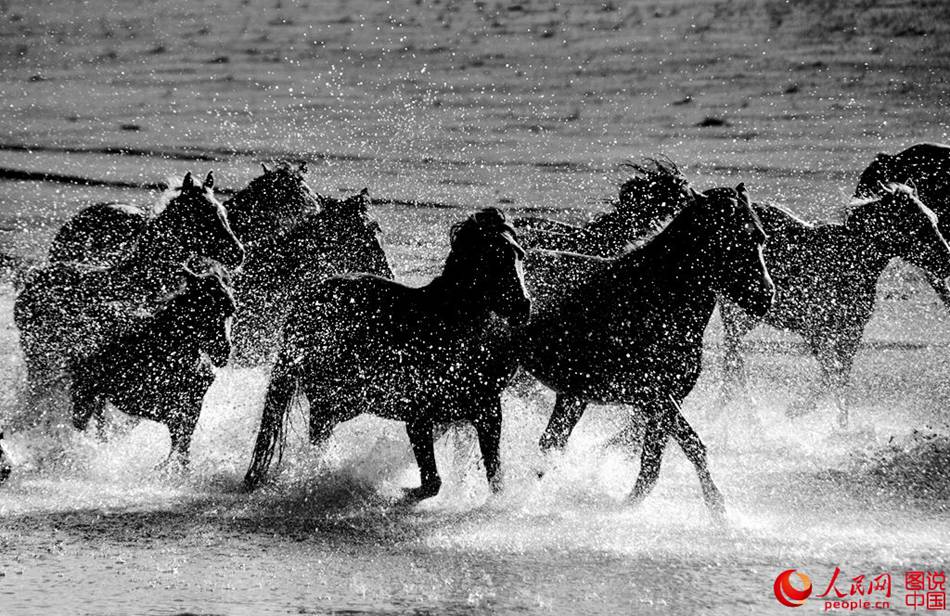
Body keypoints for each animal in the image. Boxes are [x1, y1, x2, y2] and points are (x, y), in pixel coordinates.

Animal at [70, 266, 235, 465]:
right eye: (204, 308)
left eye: (230, 310)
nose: (224, 353)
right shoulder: (150, 401)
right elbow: (177, 433)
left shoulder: (194, 401)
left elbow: (183, 440)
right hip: (84, 391)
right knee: (82, 423)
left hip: (97, 394)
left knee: (99, 421)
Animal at [243, 208, 531, 499]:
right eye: (493, 258)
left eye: (519, 255)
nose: (523, 306)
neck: (449, 330)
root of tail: (305, 299)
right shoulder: (418, 416)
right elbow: (432, 482)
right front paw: (400, 491)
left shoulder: (487, 413)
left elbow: (495, 479)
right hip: (334, 398)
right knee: (318, 435)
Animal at [517, 185, 774, 517]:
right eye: (729, 239)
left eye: (760, 237)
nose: (766, 297)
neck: (655, 299)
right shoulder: (656, 395)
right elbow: (688, 445)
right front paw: (718, 509)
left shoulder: (661, 399)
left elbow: (653, 454)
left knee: (551, 441)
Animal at [720, 183, 950, 425]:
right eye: (918, 224)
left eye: (934, 219)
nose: (947, 261)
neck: (850, 261)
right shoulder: (815, 332)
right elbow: (833, 374)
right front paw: (802, 410)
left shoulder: (851, 332)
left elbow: (839, 376)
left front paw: (837, 423)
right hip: (739, 312)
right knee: (735, 356)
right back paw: (751, 416)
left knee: (731, 358)